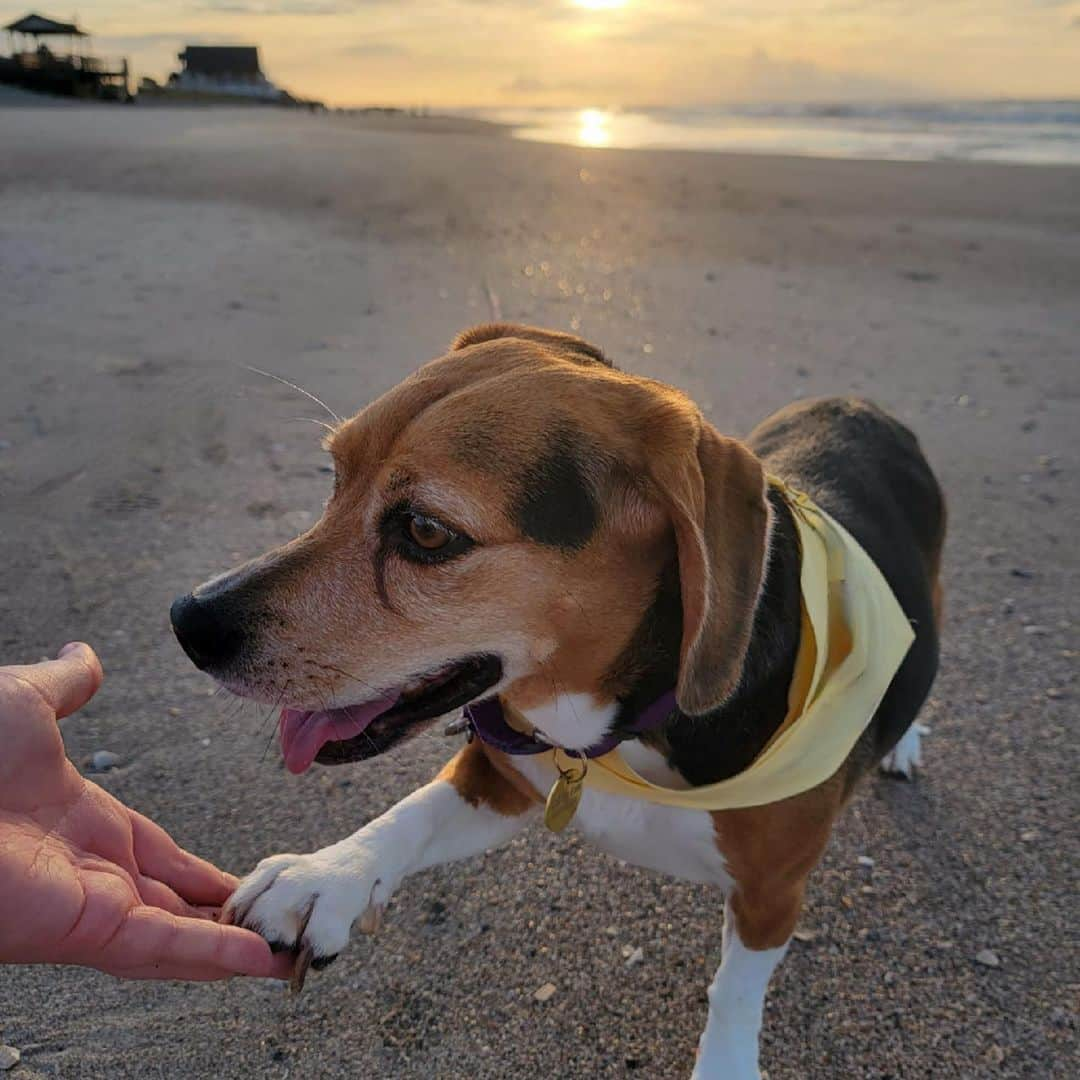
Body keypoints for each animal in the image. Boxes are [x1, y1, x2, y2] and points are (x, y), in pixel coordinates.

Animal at [170, 324, 946, 1075]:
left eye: (426, 532)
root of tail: (858, 404)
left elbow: (732, 992)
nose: (187, 620)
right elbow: (408, 816)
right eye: (334, 477)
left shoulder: (771, 895)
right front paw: (326, 878)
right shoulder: (501, 779)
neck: (621, 731)